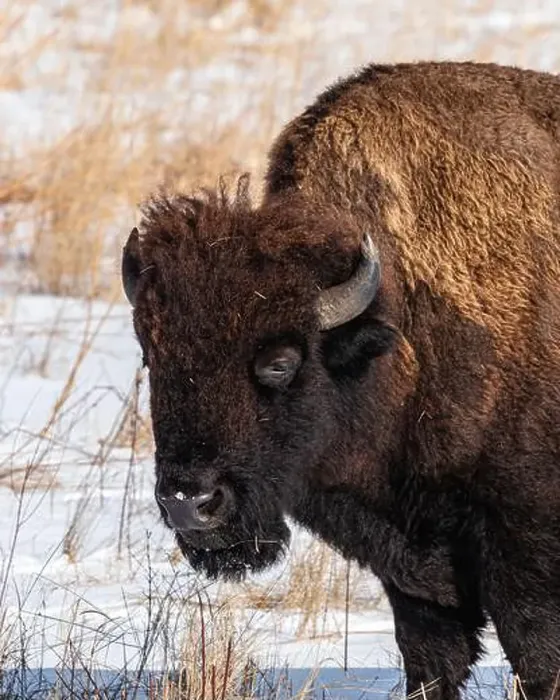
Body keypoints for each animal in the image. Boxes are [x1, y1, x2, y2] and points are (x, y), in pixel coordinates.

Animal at [122, 61, 560, 699]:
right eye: (152, 357)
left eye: (281, 361)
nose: (190, 504)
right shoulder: (415, 575)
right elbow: (431, 660)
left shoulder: (524, 555)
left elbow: (537, 659)